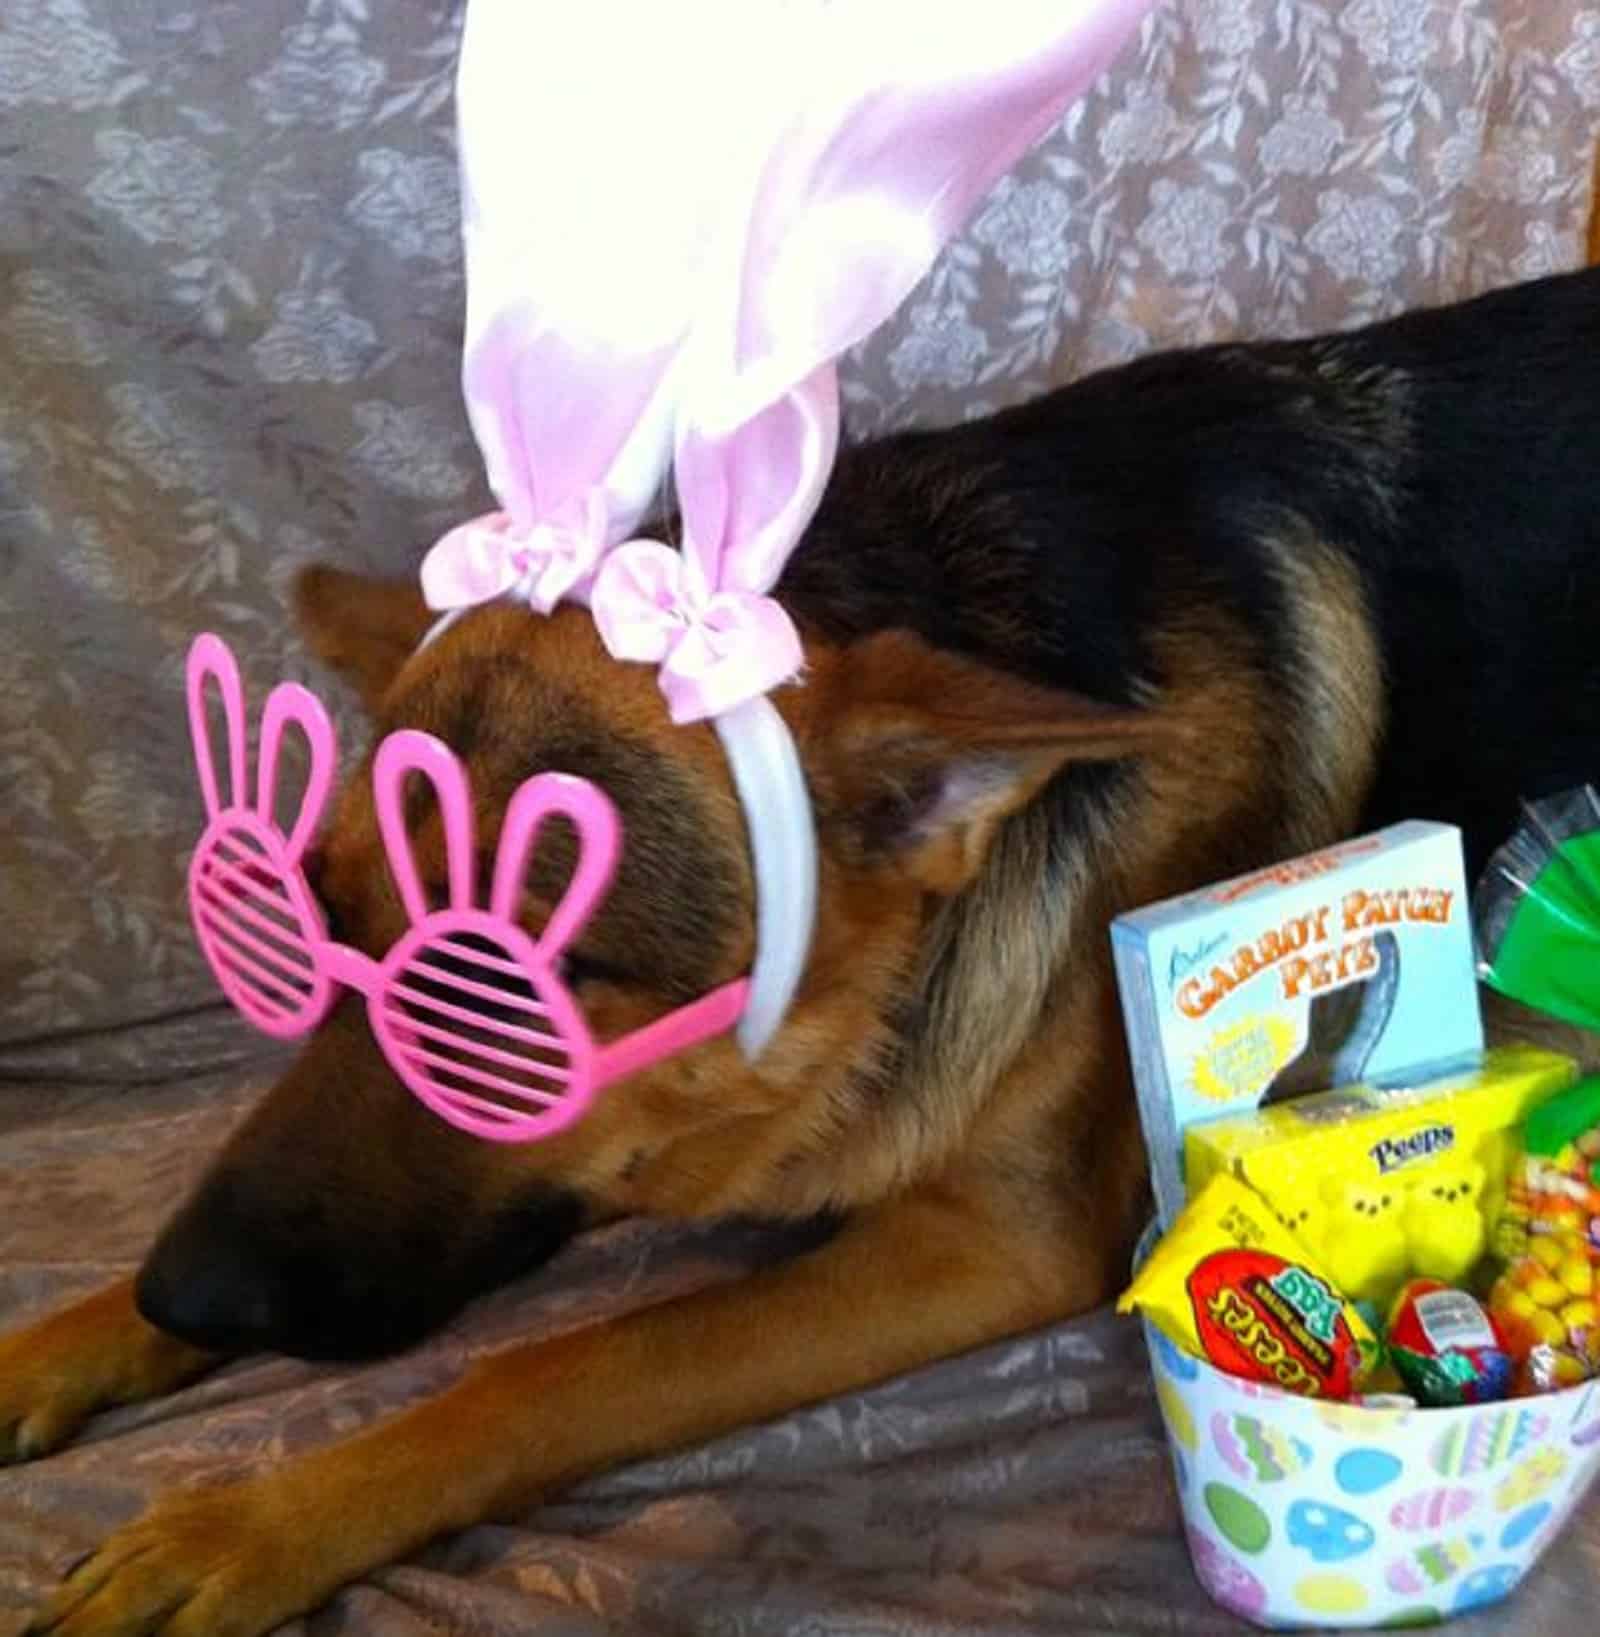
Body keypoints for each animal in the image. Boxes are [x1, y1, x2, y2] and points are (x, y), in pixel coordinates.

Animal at [3, 268, 1598, 1637]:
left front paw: (250, 1525)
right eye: (320, 932)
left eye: (497, 992)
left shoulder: (992, 1242)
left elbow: (560, 1365)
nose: (184, 1294)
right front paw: (66, 1338)